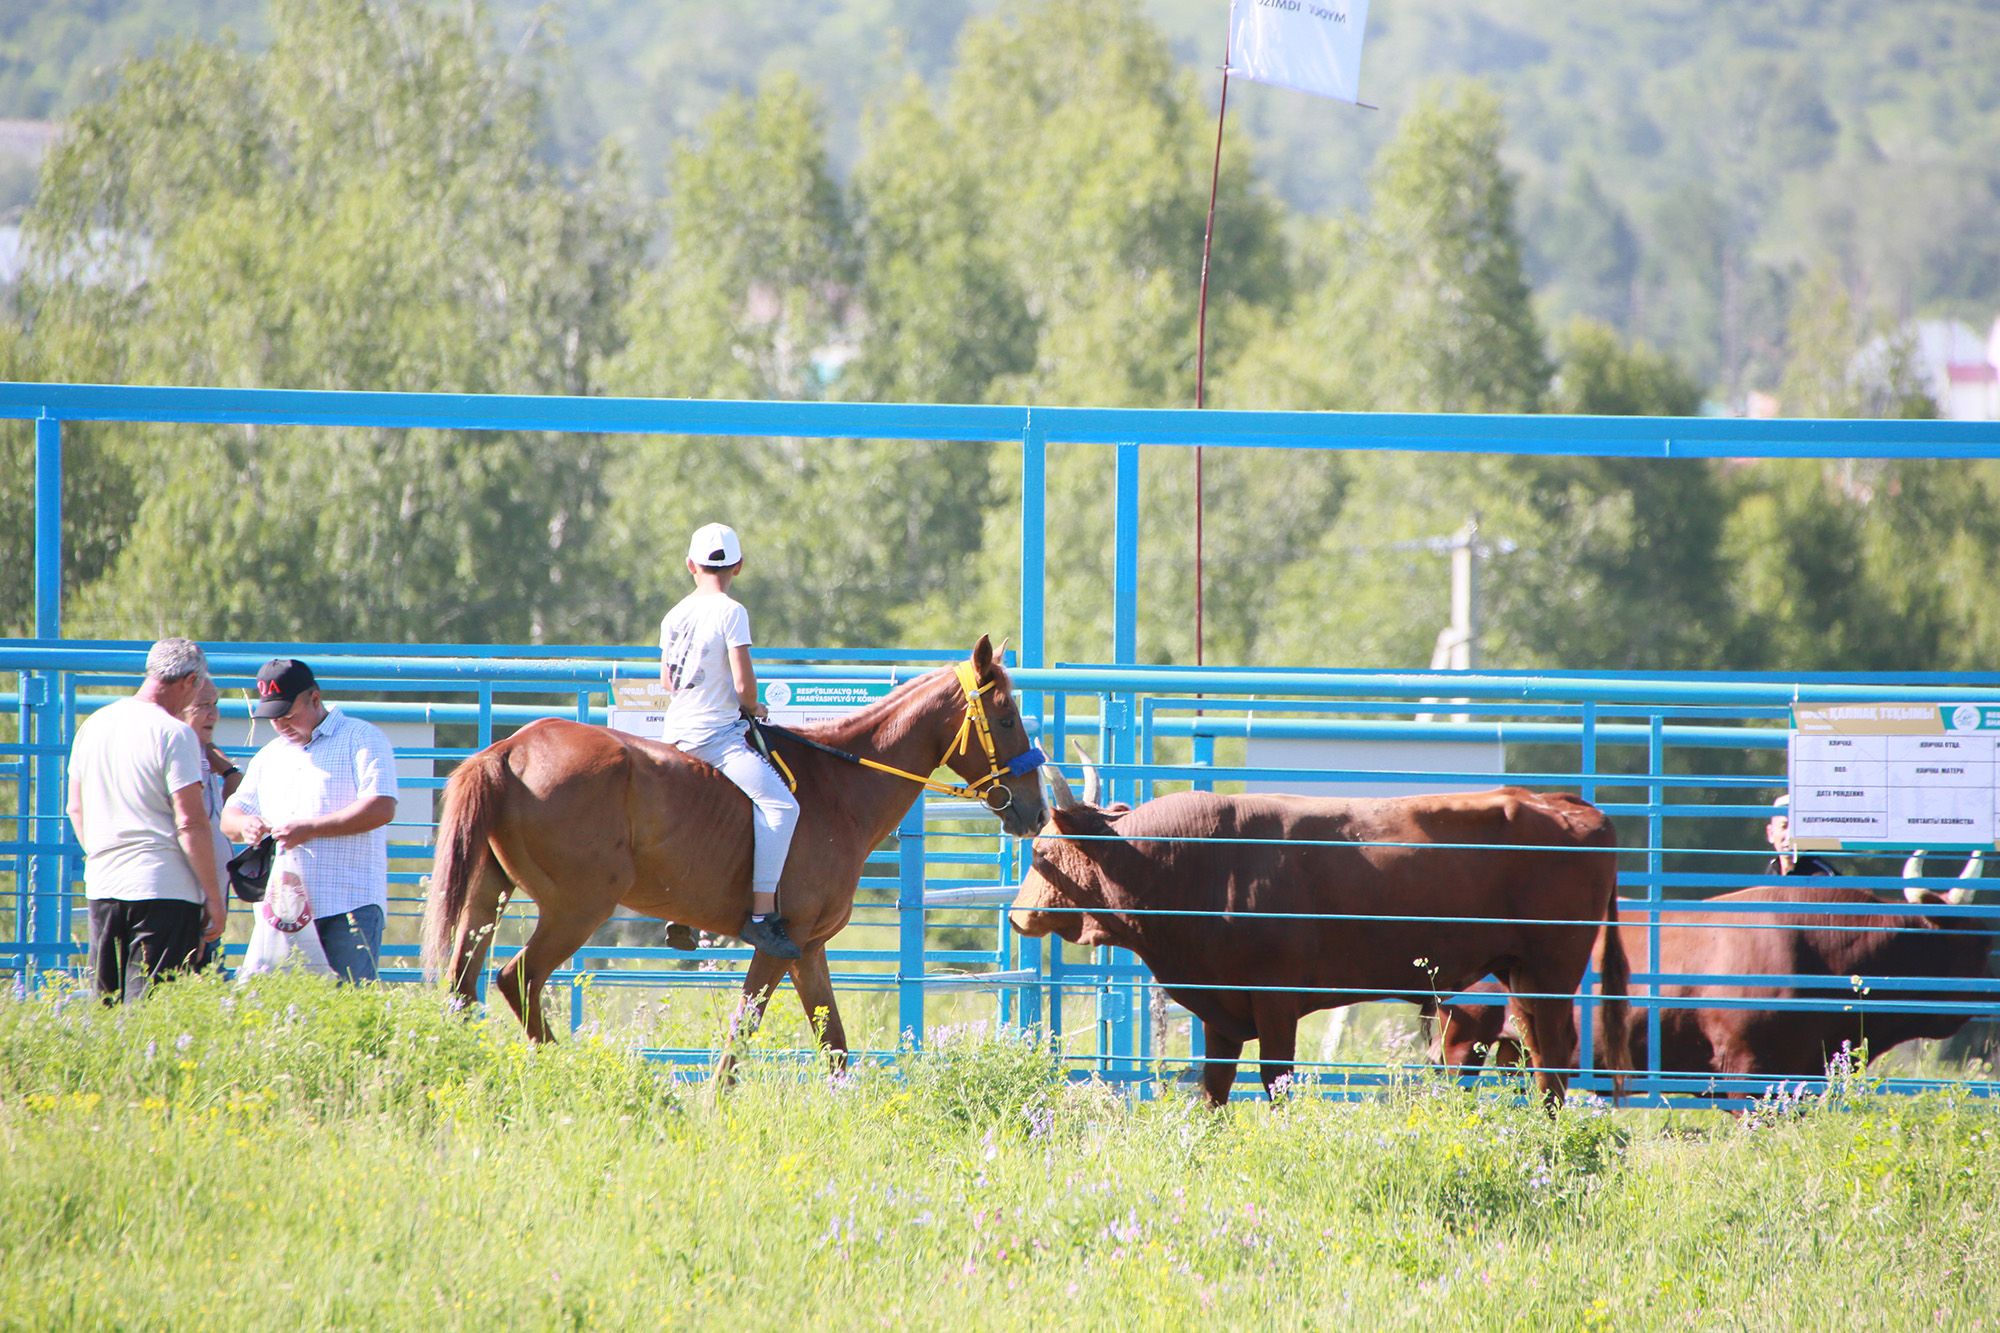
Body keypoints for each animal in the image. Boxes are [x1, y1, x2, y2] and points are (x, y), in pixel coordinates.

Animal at [422, 632, 1048, 1072]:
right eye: (1006, 717)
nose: (1037, 812)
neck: (840, 787)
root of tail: (509, 749)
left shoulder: (808, 949)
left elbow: (834, 1046)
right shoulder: (778, 944)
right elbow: (742, 1033)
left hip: (489, 896)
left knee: (463, 986)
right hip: (577, 909)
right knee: (517, 979)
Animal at [1008, 768, 1632, 1096]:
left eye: (1042, 851)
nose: (1016, 915)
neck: (1205, 860)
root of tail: (1563, 803)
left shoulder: (1276, 1000)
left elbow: (1276, 1077)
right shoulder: (1220, 1008)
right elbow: (1214, 1085)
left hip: (1550, 971)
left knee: (1554, 1052)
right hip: (1519, 974)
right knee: (1536, 1052)